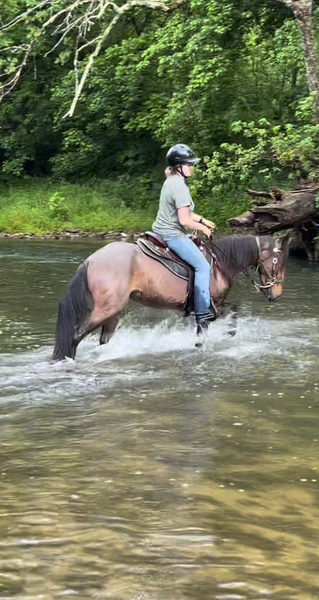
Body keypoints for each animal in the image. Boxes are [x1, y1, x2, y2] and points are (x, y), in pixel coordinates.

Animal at [52, 232, 290, 358]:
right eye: (278, 262)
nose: (277, 294)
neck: (221, 263)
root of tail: (91, 260)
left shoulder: (210, 307)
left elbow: (233, 312)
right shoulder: (208, 308)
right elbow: (217, 323)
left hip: (113, 313)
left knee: (103, 339)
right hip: (106, 309)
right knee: (76, 334)